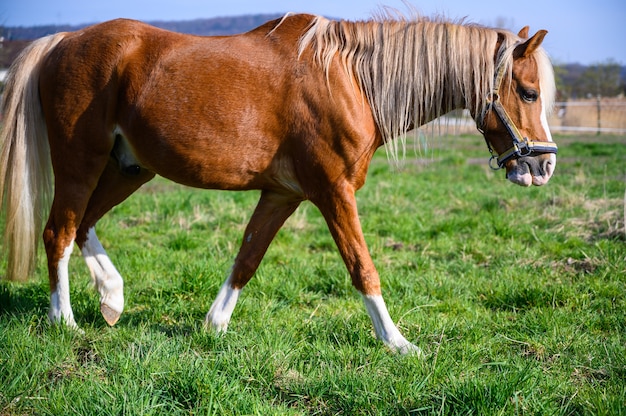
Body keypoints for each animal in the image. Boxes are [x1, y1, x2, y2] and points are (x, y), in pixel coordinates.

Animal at [0, 11, 556, 352]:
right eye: (528, 92)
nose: (544, 166)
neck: (351, 79)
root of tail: (62, 41)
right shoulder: (333, 191)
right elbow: (362, 268)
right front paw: (398, 343)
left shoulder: (282, 194)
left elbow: (246, 259)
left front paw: (215, 326)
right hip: (81, 162)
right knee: (58, 231)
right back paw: (65, 320)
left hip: (129, 168)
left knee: (83, 225)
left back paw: (112, 297)